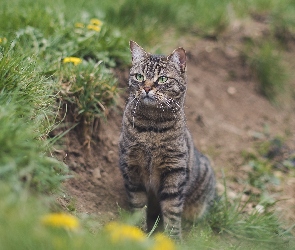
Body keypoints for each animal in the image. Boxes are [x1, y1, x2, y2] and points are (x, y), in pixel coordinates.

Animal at [118, 40, 217, 238]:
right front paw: (137, 233)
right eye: (139, 77)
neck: (151, 128)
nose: (147, 88)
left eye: (162, 79)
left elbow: (172, 211)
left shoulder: (174, 170)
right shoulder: (132, 166)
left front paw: (173, 239)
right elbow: (138, 205)